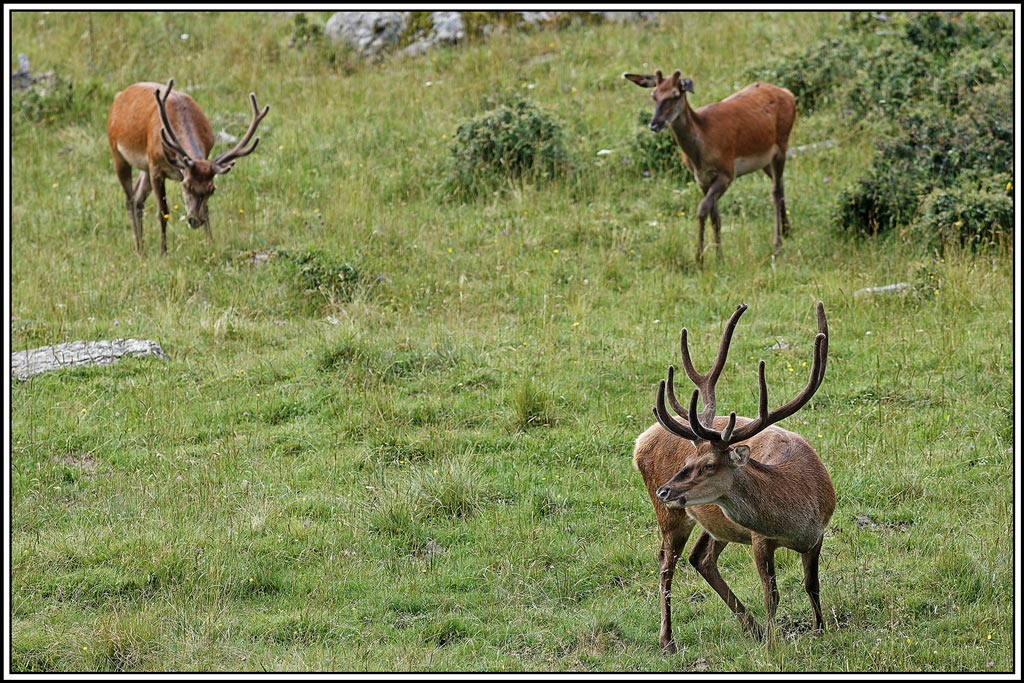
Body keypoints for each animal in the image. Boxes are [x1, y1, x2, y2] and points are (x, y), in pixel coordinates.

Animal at [106, 78, 269, 255]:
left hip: (145, 168)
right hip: (117, 153)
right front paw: (163, 252)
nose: (194, 221)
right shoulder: (156, 166)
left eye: (212, 189)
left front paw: (210, 243)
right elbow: (163, 211)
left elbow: (206, 210)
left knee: (137, 198)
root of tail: (118, 97)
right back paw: (139, 250)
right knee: (129, 200)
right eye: (186, 185)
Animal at [623, 70, 796, 267]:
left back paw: (777, 246)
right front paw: (719, 257)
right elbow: (715, 216)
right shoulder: (701, 178)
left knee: (775, 191)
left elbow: (702, 209)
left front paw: (699, 258)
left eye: (675, 95)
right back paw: (787, 231)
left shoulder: (727, 172)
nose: (654, 124)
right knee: (780, 184)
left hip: (781, 145)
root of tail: (789, 94)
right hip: (765, 161)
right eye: (654, 95)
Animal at [632, 301, 833, 654]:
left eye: (709, 465)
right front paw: (773, 646)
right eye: (688, 460)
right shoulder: (759, 539)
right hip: (673, 517)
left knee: (700, 558)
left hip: (714, 523)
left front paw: (818, 630)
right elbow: (772, 594)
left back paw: (751, 628)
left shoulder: (818, 534)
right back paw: (668, 640)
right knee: (667, 562)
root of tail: (640, 442)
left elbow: (812, 585)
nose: (664, 491)